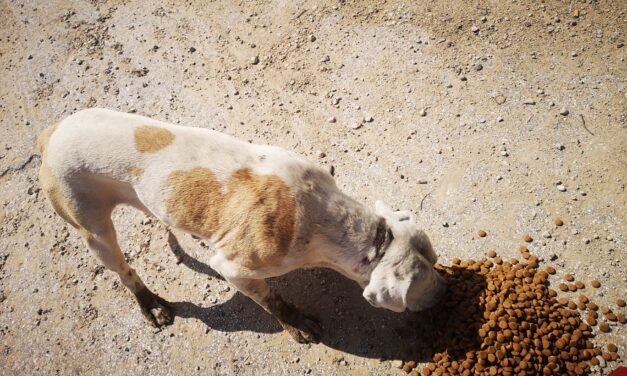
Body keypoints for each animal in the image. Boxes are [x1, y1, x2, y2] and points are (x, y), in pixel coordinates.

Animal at [38, 107, 446, 342]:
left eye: (437, 264)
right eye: (420, 287)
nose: (445, 294)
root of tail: (50, 134)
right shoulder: (234, 268)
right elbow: (271, 300)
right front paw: (295, 323)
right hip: (95, 231)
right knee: (125, 271)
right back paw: (149, 304)